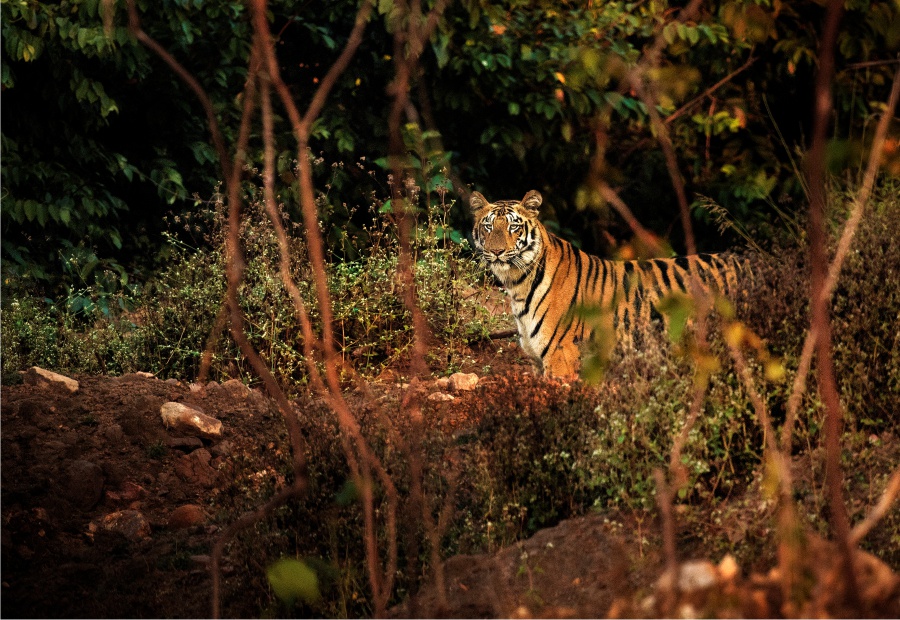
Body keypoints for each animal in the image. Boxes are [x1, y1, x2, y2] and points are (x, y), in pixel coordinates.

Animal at [468, 190, 740, 378]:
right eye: (488, 226)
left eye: (514, 227)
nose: (496, 252)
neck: (518, 284)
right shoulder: (537, 361)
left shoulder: (561, 359)